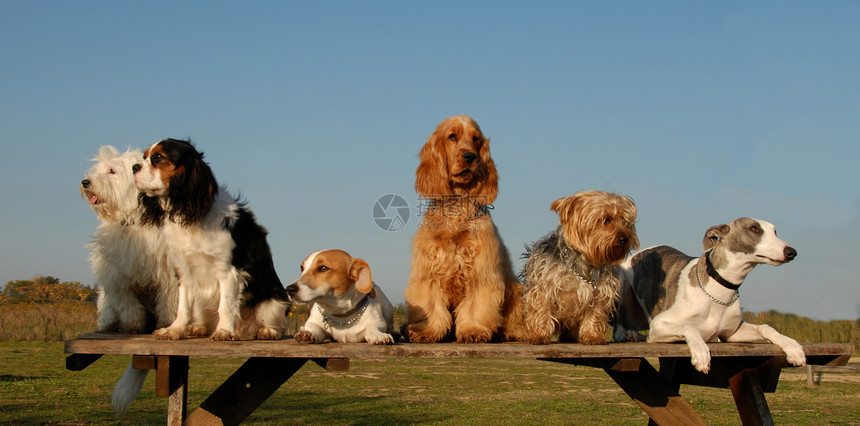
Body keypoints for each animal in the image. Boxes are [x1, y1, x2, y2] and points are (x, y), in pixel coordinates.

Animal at [80, 146, 178, 412]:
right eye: (98, 169)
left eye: (112, 171)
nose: (86, 182)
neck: (132, 220)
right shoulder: (117, 275)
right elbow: (128, 305)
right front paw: (132, 327)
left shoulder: (166, 272)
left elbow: (167, 300)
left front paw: (166, 323)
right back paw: (110, 325)